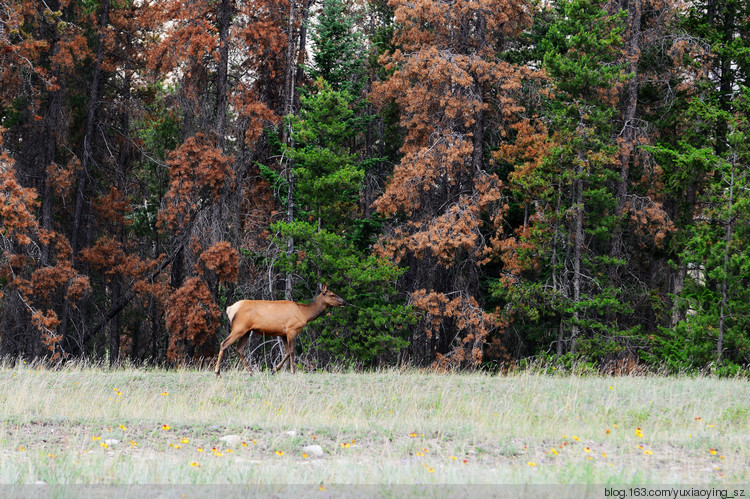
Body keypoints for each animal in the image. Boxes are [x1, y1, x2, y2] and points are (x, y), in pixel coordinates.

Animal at [216, 284, 348, 376]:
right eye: (332, 294)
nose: (344, 302)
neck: (304, 314)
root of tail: (230, 309)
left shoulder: (283, 333)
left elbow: (287, 351)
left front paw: (274, 369)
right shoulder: (292, 329)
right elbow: (292, 351)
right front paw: (292, 371)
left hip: (246, 330)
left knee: (239, 349)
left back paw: (250, 372)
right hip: (239, 327)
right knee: (224, 343)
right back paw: (217, 372)